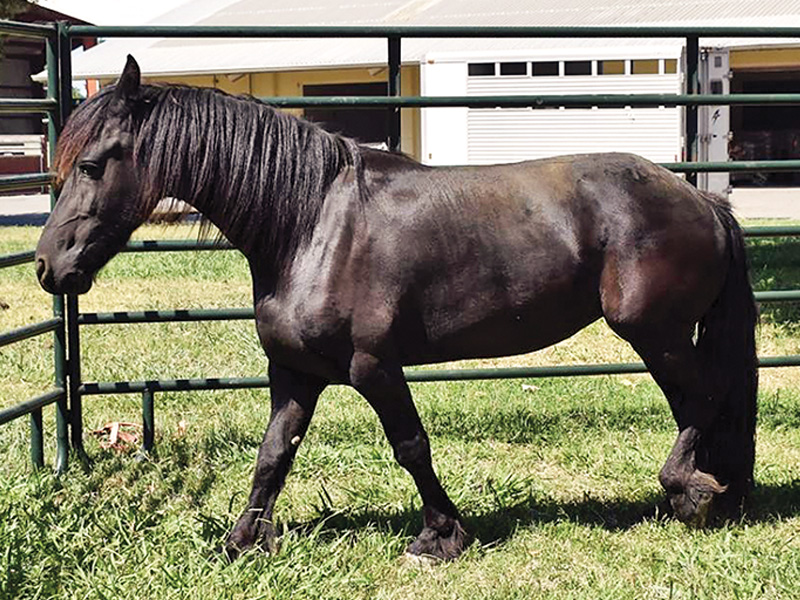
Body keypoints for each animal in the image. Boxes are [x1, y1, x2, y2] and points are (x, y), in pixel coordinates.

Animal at [35, 56, 758, 561]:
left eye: (93, 165)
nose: (48, 267)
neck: (310, 227)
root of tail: (704, 201)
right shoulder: (294, 374)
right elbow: (272, 456)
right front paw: (241, 542)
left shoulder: (373, 367)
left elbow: (411, 445)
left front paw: (441, 536)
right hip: (660, 335)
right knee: (696, 401)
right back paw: (706, 491)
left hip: (653, 330)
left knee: (705, 394)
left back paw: (688, 491)